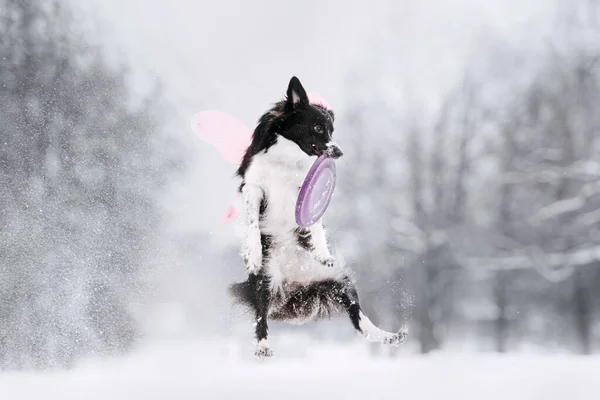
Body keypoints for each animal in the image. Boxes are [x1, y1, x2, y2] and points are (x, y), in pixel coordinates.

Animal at [230, 76, 408, 358]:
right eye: (317, 127)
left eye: (332, 130)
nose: (339, 152)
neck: (287, 157)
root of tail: (296, 283)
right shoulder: (254, 187)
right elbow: (252, 222)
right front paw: (253, 254)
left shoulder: (306, 191)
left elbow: (315, 225)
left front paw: (323, 251)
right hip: (265, 281)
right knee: (261, 315)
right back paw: (263, 346)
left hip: (341, 282)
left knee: (359, 318)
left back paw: (389, 336)